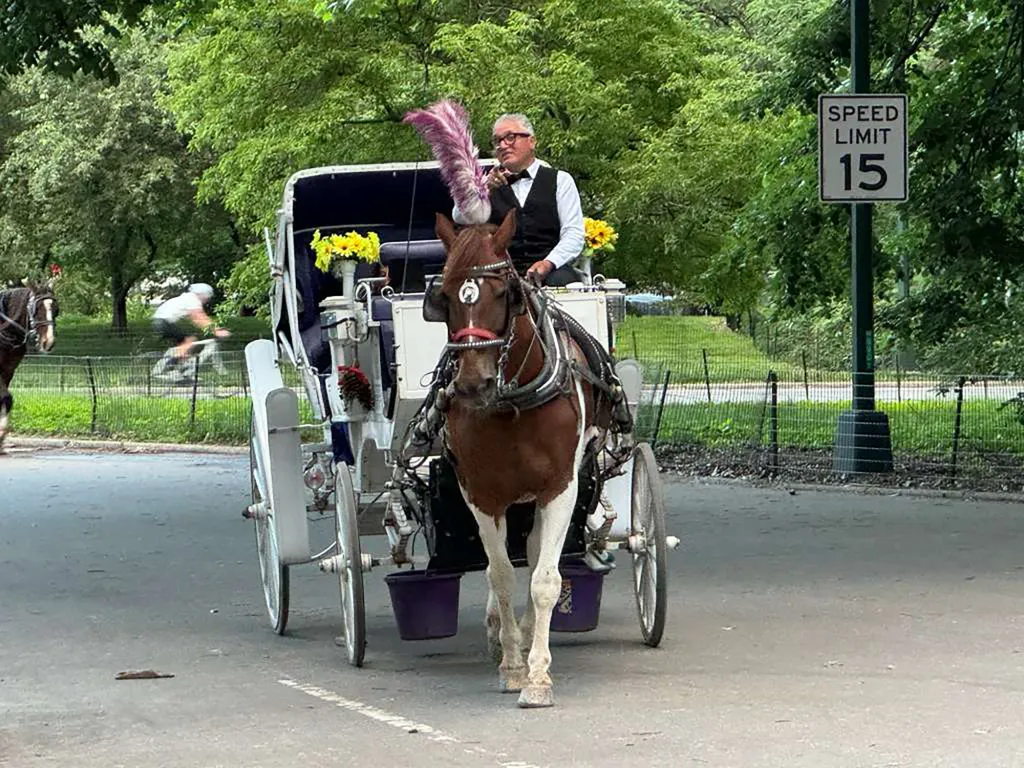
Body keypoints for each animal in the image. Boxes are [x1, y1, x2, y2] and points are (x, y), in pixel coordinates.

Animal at [0, 280, 59, 452]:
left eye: (56, 309)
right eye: (37, 309)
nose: (48, 342)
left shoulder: (8, 371)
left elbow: (6, 398)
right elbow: (6, 397)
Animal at [426, 208, 616, 708]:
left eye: (504, 293)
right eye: (445, 295)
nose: (473, 384)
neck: (512, 402)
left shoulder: (561, 489)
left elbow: (545, 580)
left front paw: (537, 676)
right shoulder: (481, 494)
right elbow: (502, 577)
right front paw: (513, 666)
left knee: (533, 553)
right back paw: (504, 633)